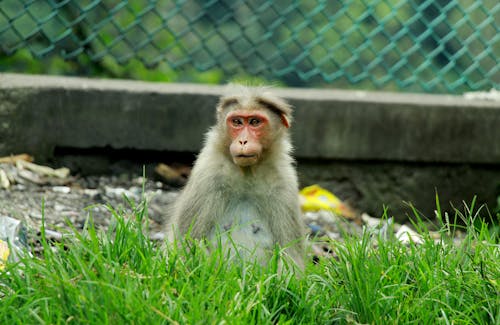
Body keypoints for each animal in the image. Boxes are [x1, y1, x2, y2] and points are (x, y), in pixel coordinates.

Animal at [166, 84, 304, 268]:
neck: (247, 172)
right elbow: (186, 244)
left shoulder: (284, 183)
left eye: (255, 122)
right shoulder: (207, 175)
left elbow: (290, 254)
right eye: (237, 122)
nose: (243, 141)